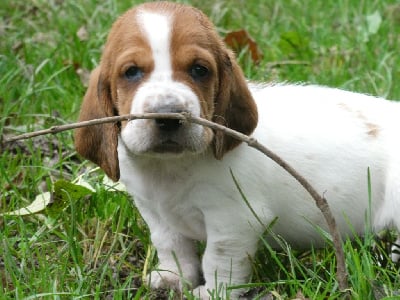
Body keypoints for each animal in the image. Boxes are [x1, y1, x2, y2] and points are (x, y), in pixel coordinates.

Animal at [75, 1, 400, 298]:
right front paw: (174, 278)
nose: (168, 115)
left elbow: (218, 260)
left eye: (199, 70)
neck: (171, 167)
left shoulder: (232, 221)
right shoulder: (154, 211)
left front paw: (212, 292)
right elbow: (171, 246)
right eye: (131, 72)